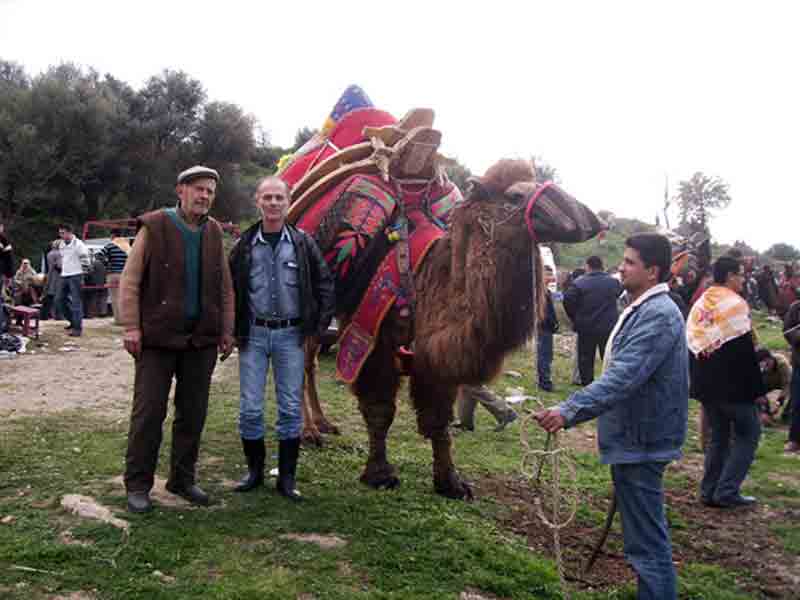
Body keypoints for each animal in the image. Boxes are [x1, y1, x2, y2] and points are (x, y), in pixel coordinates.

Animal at [300, 158, 608, 496]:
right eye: (515, 196)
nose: (588, 219)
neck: (426, 283)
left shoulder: (434, 358)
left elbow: (438, 421)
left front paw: (451, 483)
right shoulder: (371, 338)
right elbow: (380, 410)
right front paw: (380, 474)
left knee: (309, 361)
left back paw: (322, 424)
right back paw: (309, 432)